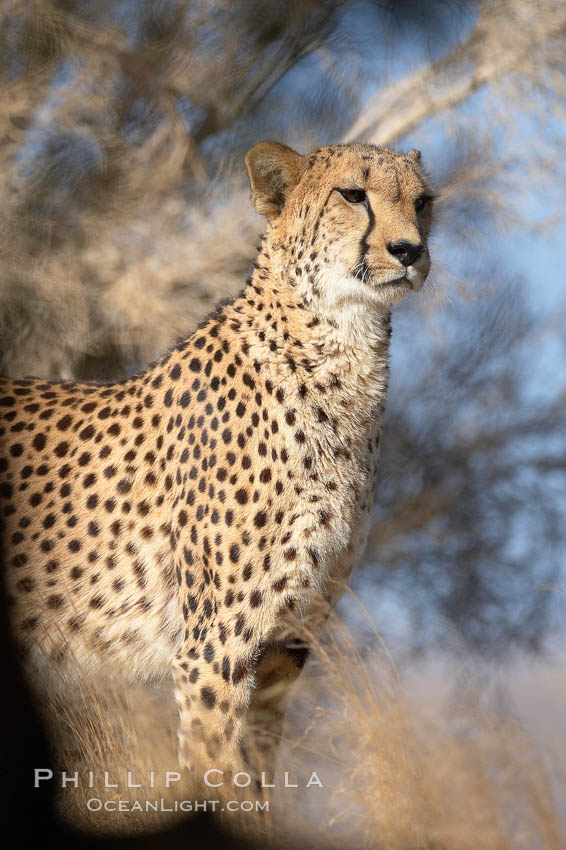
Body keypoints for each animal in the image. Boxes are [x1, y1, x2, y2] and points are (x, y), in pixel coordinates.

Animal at [0, 139, 438, 780]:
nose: (410, 250)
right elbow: (215, 773)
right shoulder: (215, 648)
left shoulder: (284, 648)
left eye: (423, 201)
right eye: (353, 195)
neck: (337, 347)